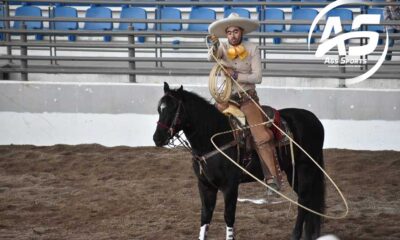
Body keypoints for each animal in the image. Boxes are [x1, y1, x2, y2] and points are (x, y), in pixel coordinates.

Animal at [153, 83, 324, 240]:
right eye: (159, 109)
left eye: (173, 109)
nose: (157, 138)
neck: (215, 138)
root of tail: (314, 119)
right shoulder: (205, 185)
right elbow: (205, 216)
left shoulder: (230, 186)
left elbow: (229, 216)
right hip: (292, 172)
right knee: (307, 201)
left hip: (305, 168)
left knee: (304, 199)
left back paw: (296, 235)